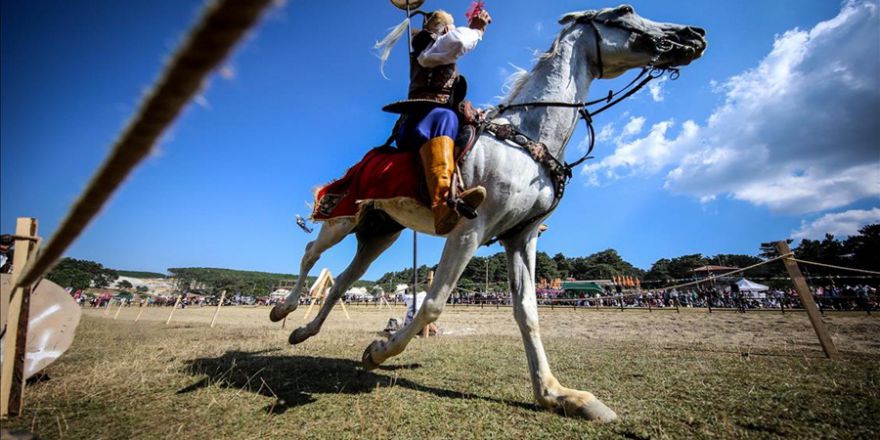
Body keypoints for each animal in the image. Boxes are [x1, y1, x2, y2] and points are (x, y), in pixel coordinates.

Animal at [272, 5, 704, 422]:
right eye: (624, 12)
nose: (693, 35)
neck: (529, 139)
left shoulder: (521, 238)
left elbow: (527, 311)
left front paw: (557, 395)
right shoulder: (468, 231)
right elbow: (432, 303)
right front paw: (378, 350)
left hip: (382, 232)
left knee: (343, 281)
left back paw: (303, 331)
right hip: (344, 218)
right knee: (312, 252)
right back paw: (283, 308)